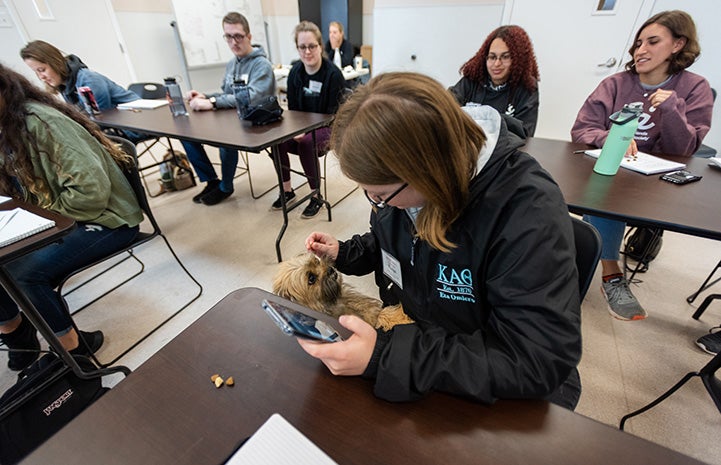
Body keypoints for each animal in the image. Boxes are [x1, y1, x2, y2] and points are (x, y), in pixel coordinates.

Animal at [272, 252, 414, 332]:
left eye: (317, 261)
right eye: (311, 278)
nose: (330, 270)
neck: (333, 303)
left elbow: (381, 314)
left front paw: (400, 316)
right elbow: (381, 316)